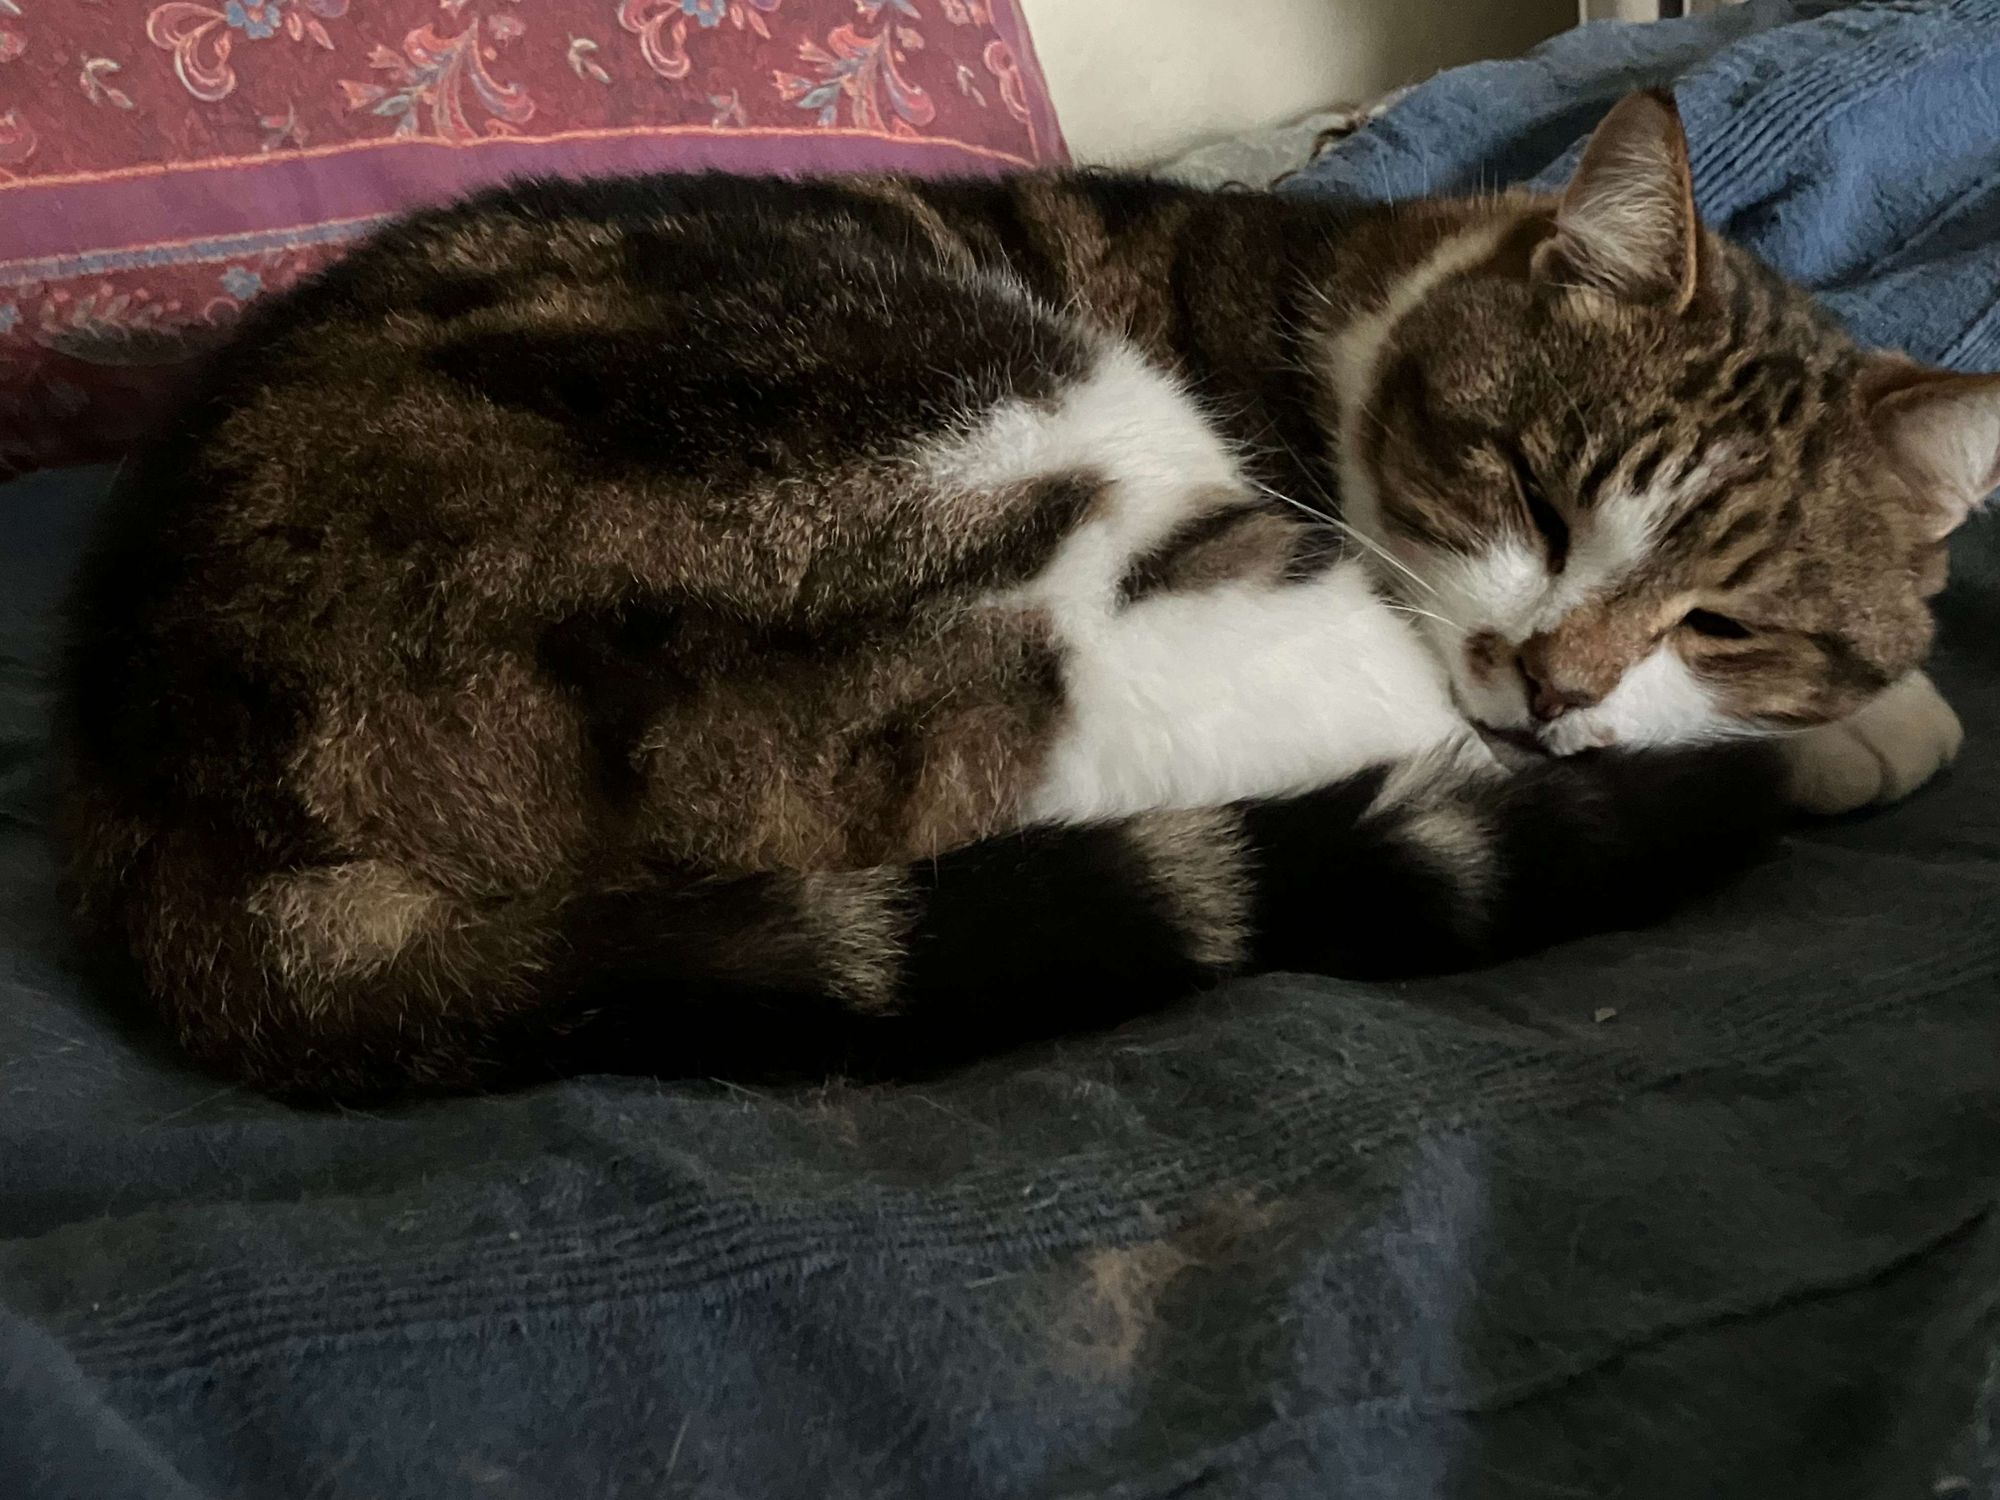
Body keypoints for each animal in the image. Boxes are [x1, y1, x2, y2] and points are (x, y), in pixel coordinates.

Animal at [54, 97, 1992, 1104]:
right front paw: (1861, 730)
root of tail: (186, 809)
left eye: (1721, 619)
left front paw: (1870, 696)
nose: (1554, 677)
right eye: (1528, 490)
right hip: (984, 484)